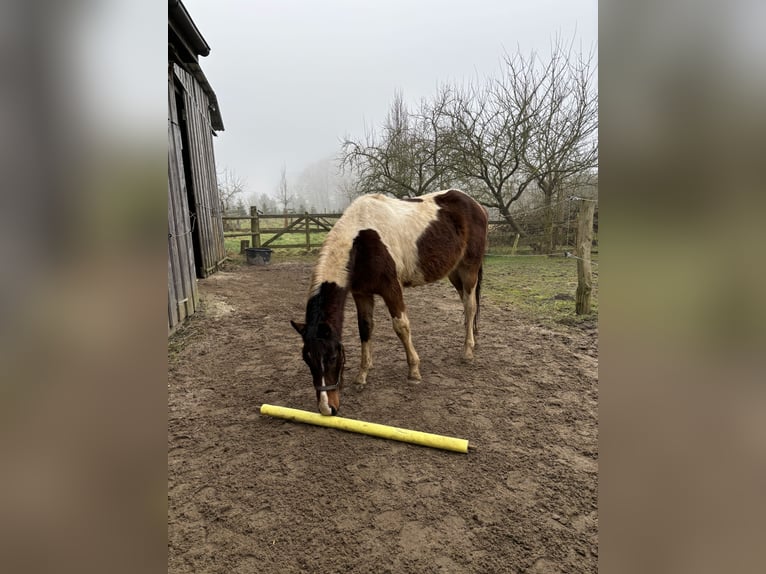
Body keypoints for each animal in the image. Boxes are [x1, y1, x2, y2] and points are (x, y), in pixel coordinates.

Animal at [292, 191, 488, 416]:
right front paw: (362, 376)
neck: (360, 243)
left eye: (332, 357)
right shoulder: (362, 294)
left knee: (470, 307)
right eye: (307, 359)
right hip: (454, 272)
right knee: (466, 306)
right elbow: (365, 329)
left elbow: (401, 326)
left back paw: (467, 352)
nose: (327, 408)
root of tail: (476, 205)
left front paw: (414, 372)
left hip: (469, 269)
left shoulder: (391, 289)